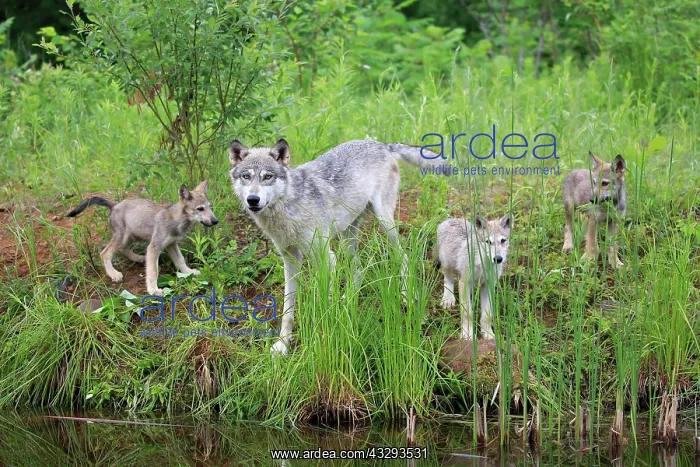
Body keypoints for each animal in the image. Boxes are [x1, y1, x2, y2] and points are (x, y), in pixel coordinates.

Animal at [67, 181, 218, 295]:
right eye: (200, 208)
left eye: (210, 207)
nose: (216, 221)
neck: (177, 219)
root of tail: (114, 205)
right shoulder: (154, 247)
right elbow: (153, 272)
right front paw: (153, 290)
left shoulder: (171, 244)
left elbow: (180, 261)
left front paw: (188, 272)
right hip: (122, 236)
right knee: (105, 253)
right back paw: (113, 273)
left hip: (131, 236)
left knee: (122, 249)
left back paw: (138, 258)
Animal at [228, 138, 439, 355]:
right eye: (246, 176)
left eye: (267, 177)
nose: (253, 200)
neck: (289, 207)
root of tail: (379, 143)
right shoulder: (290, 258)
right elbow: (288, 310)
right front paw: (282, 345)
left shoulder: (326, 258)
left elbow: (323, 303)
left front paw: (321, 340)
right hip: (347, 237)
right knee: (359, 270)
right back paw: (347, 300)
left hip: (384, 222)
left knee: (403, 256)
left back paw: (407, 296)